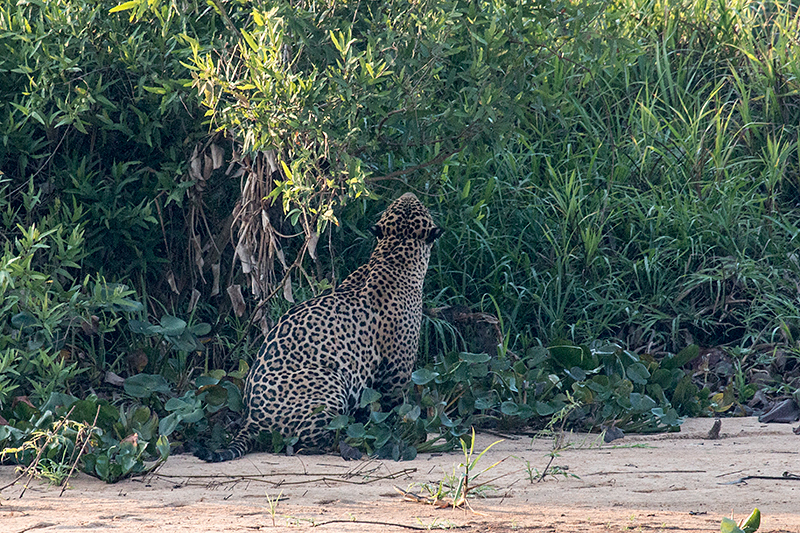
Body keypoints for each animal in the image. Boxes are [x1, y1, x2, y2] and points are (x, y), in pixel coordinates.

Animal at [195, 192, 442, 462]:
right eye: (422, 207)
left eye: (409, 204)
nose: (409, 194)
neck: (393, 254)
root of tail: (251, 420)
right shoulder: (398, 370)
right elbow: (397, 409)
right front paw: (405, 433)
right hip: (330, 382)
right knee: (306, 440)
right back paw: (348, 444)